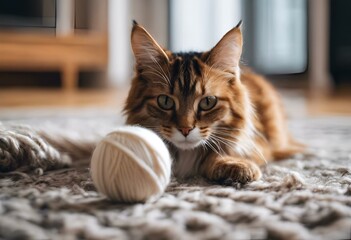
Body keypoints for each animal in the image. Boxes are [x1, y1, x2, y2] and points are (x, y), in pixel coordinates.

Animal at [124, 21, 306, 185]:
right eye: (165, 101)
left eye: (207, 102)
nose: (185, 129)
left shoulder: (259, 145)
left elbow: (214, 155)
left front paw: (235, 167)